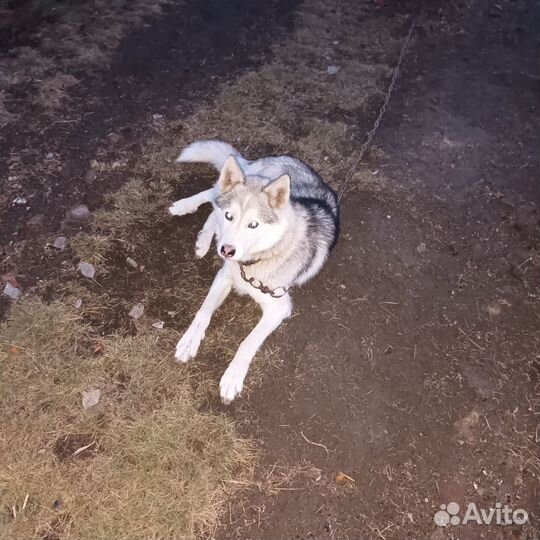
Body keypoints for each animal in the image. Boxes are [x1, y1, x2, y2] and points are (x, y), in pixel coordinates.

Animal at [168, 141, 338, 402]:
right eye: (231, 216)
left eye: (253, 225)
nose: (226, 251)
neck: (257, 259)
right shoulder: (224, 276)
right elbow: (203, 312)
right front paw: (190, 341)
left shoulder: (279, 307)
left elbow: (248, 342)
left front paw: (233, 377)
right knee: (212, 197)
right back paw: (186, 209)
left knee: (212, 209)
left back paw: (204, 240)